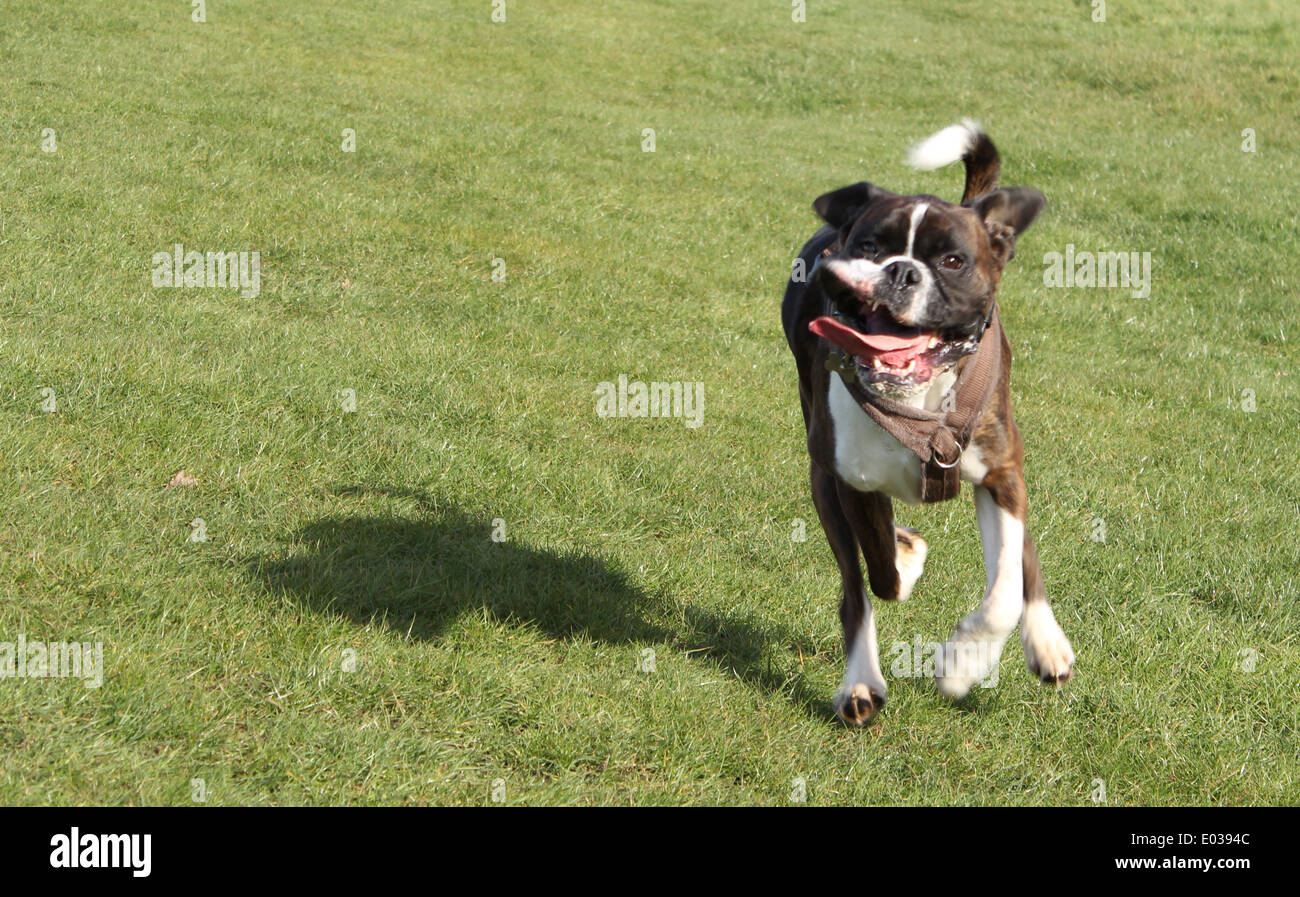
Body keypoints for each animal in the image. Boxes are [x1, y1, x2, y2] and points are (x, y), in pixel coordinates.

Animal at [780, 118, 1076, 722]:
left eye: (953, 261)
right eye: (870, 246)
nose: (900, 270)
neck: (919, 400)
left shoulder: (999, 473)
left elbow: (1005, 588)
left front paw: (964, 662)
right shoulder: (850, 483)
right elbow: (878, 575)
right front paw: (907, 555)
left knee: (1024, 559)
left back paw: (1047, 642)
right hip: (822, 476)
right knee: (860, 584)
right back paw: (861, 681)